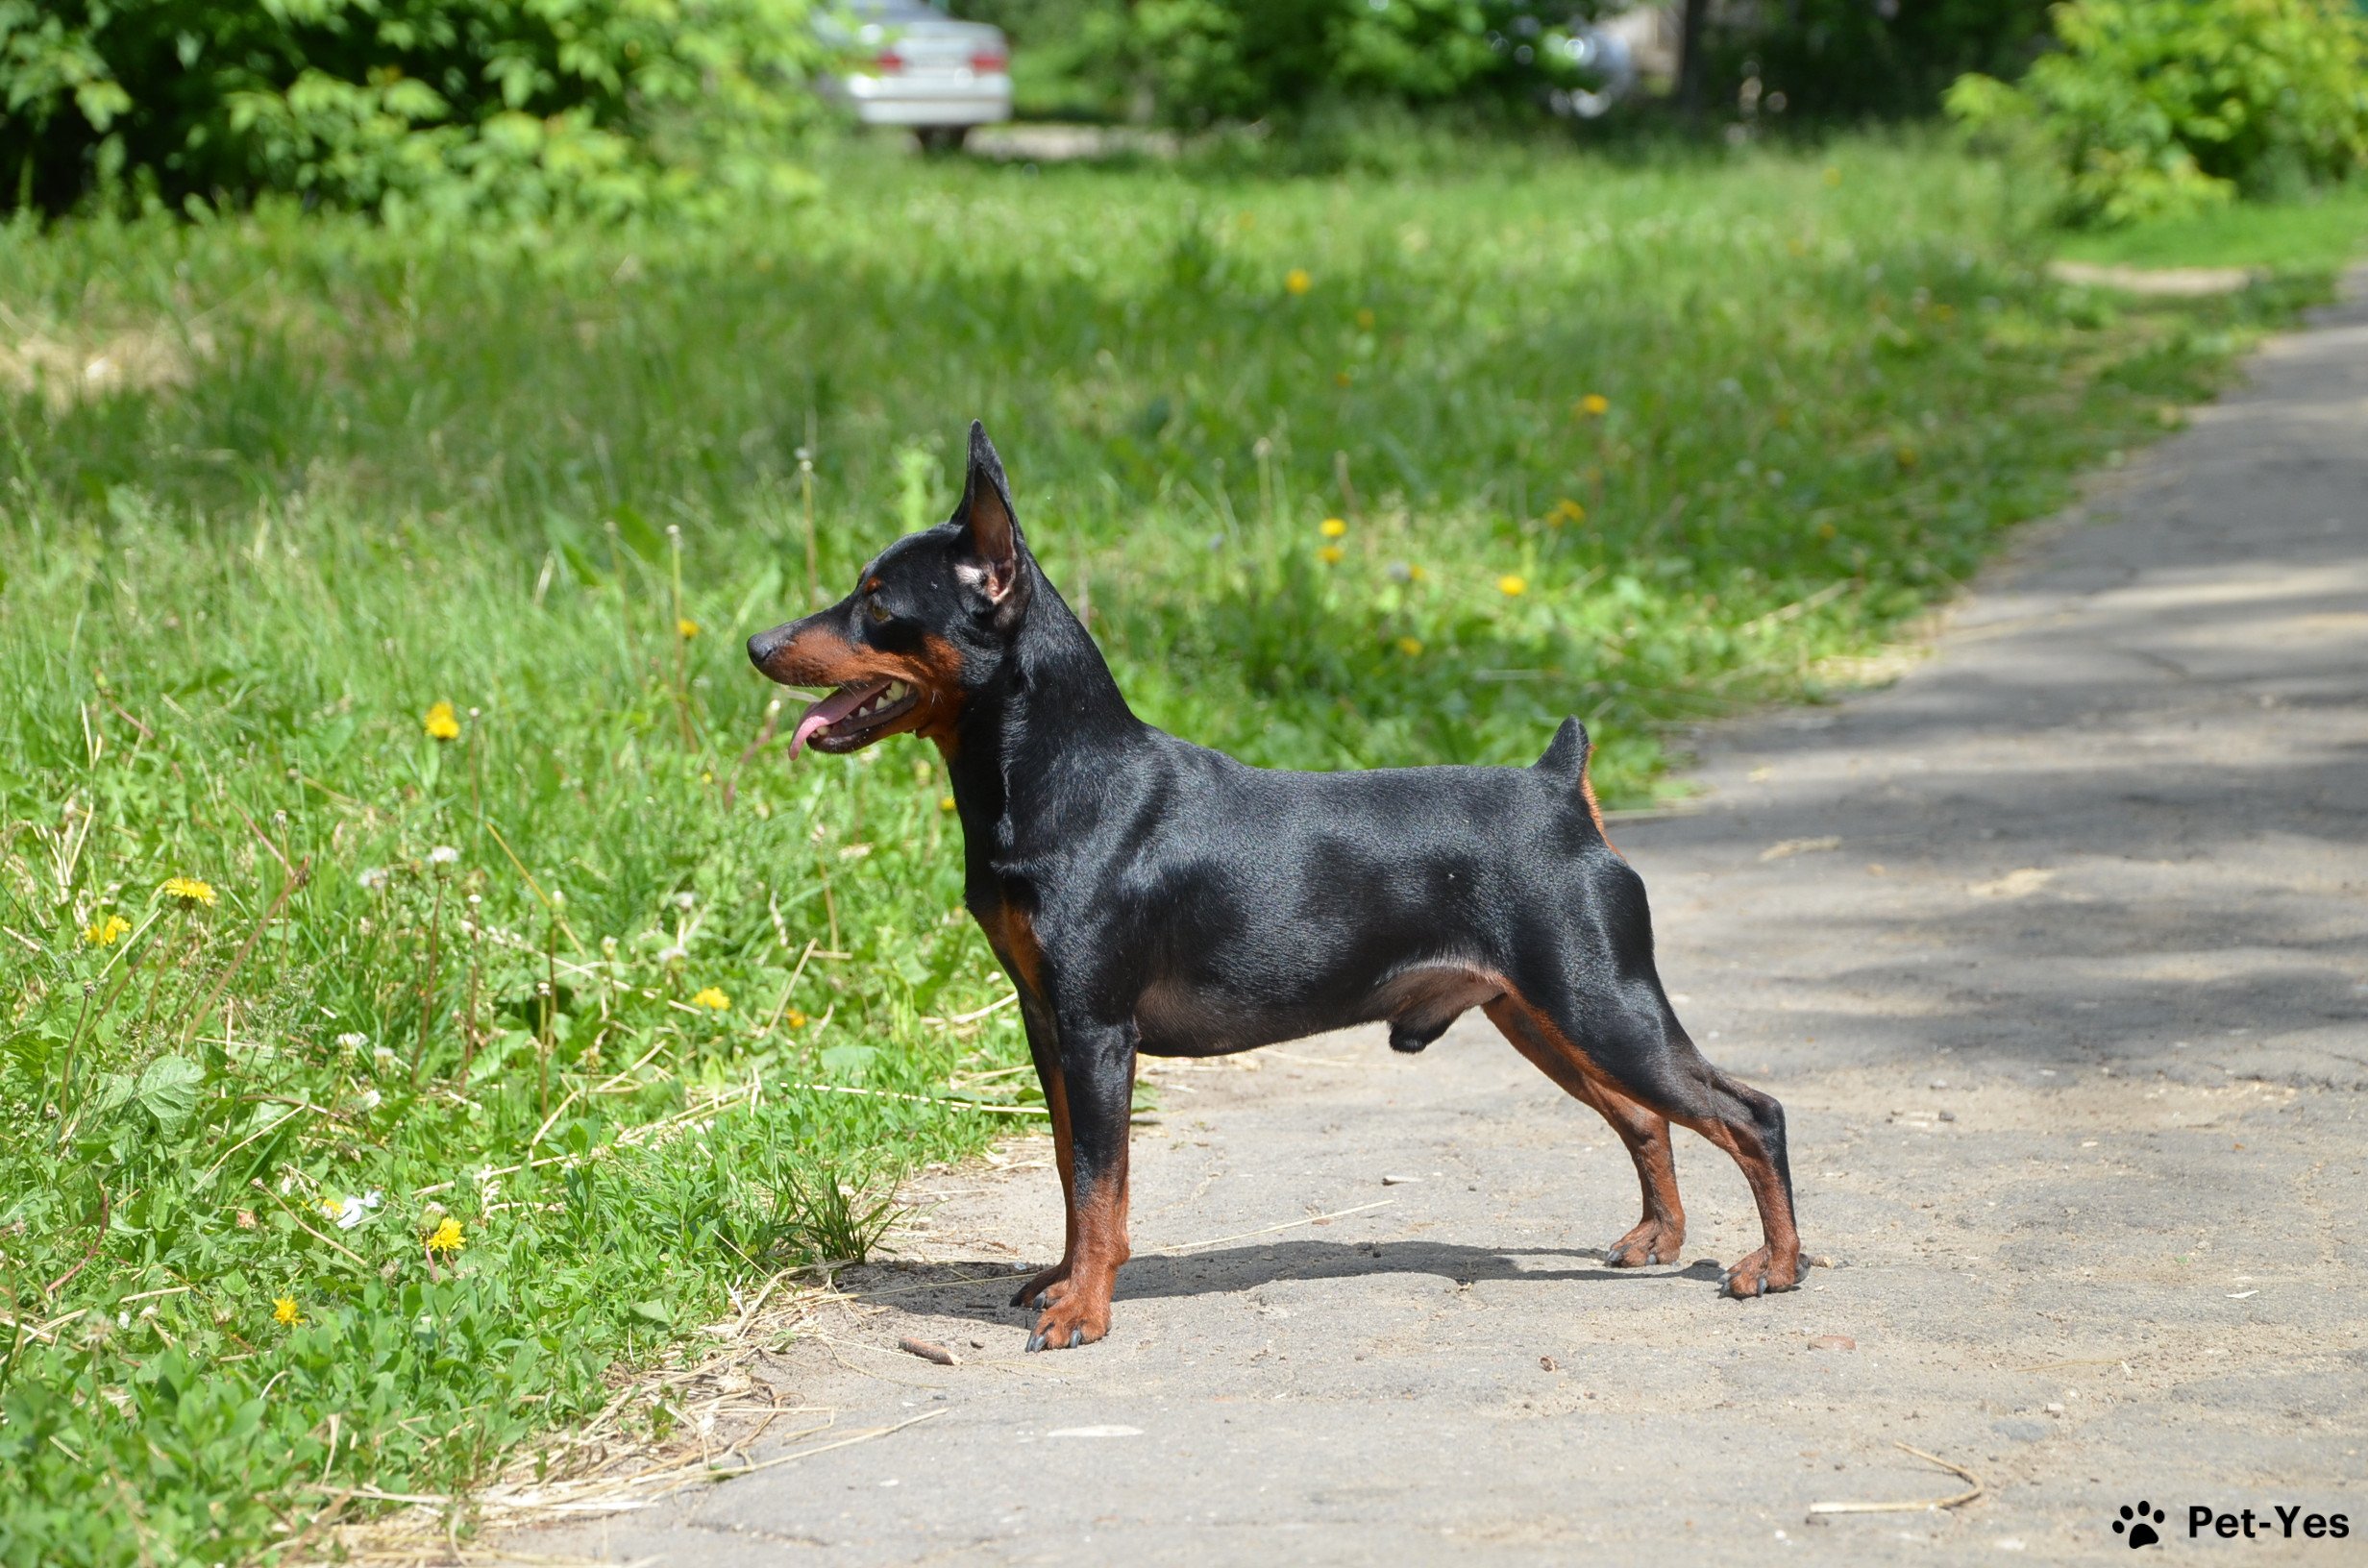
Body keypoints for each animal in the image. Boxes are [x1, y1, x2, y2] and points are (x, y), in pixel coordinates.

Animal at [748, 426, 1799, 1355]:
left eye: (876, 603)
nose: (757, 643)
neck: (1064, 773)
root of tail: (1560, 787)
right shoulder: (1046, 1024)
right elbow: (1068, 1170)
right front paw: (1063, 1278)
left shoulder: (1096, 1031)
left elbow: (1099, 1184)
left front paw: (1084, 1308)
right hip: (1540, 1015)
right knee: (1647, 1116)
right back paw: (1657, 1238)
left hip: (1598, 1003)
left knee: (1750, 1114)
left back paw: (1776, 1267)